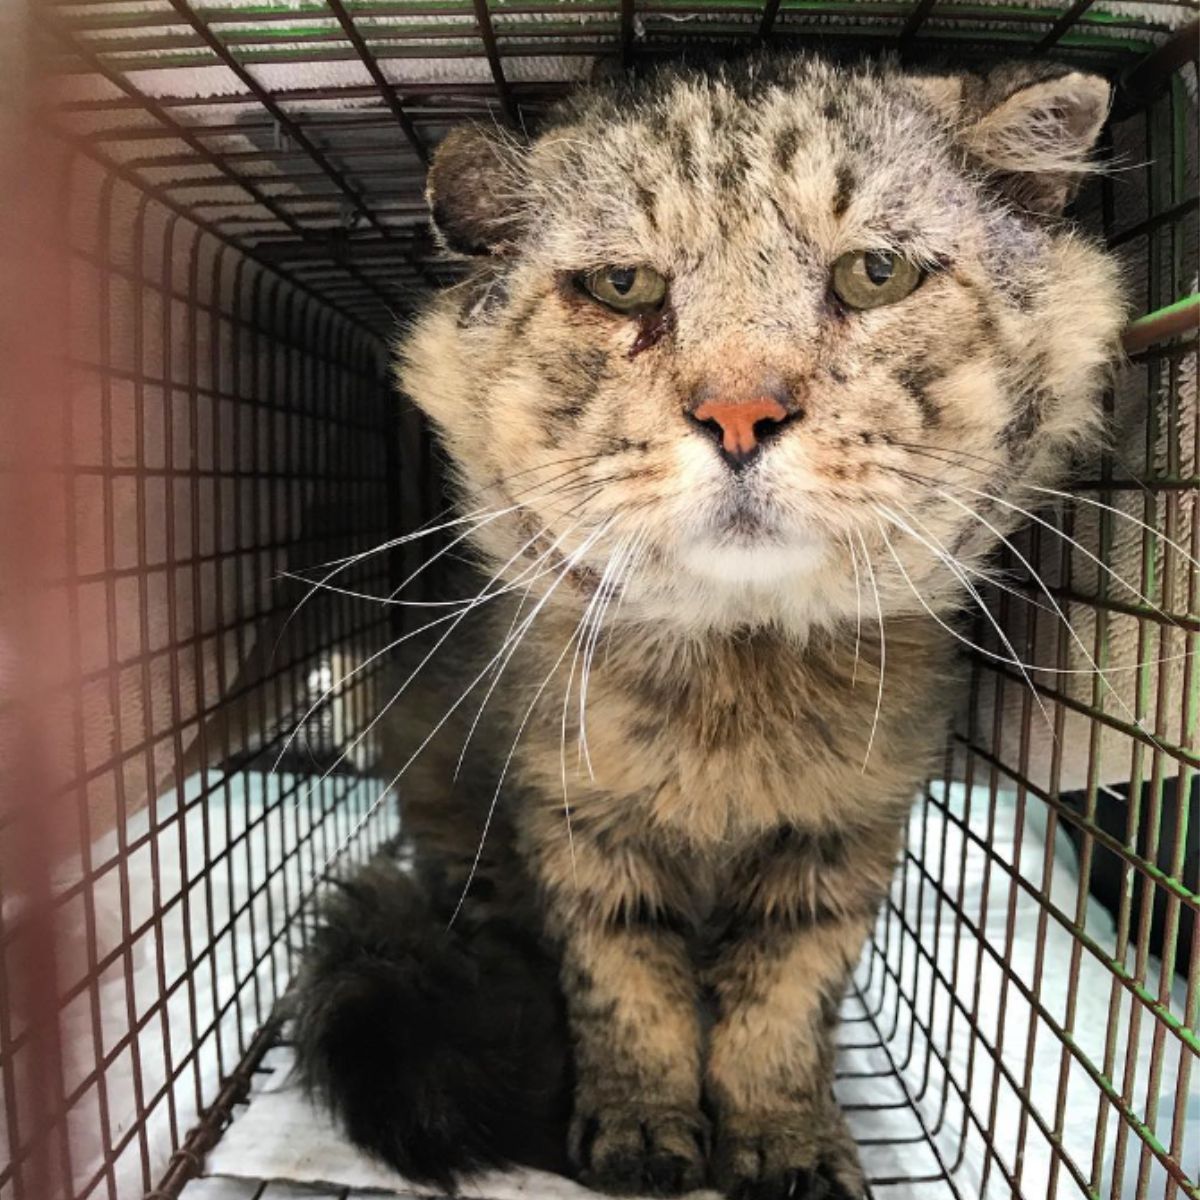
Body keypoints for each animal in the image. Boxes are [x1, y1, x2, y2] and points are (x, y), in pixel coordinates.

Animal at [290, 54, 1123, 1200]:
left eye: (875, 274)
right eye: (621, 287)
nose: (739, 415)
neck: (737, 691)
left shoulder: (842, 841)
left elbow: (778, 1014)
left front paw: (786, 1144)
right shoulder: (576, 824)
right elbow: (633, 1001)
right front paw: (641, 1136)